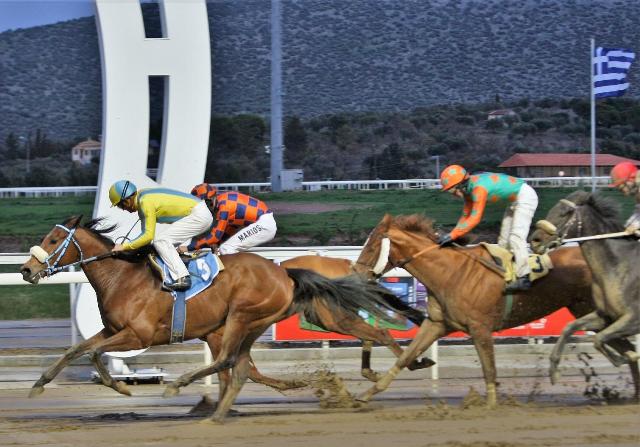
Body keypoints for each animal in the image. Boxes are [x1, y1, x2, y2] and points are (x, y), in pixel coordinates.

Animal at [20, 217, 410, 424]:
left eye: (54, 239)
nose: (25, 270)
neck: (124, 277)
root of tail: (284, 273)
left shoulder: (138, 335)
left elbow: (94, 354)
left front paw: (121, 387)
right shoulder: (113, 330)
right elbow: (75, 351)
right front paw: (39, 384)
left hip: (246, 316)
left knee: (232, 362)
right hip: (242, 324)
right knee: (241, 365)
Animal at [352, 215, 636, 408]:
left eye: (373, 245)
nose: (356, 272)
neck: (450, 272)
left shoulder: (480, 328)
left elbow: (489, 368)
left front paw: (490, 405)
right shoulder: (437, 323)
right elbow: (405, 357)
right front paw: (366, 394)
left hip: (596, 312)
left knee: (626, 346)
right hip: (587, 312)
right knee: (627, 348)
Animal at [528, 191, 640, 386]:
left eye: (565, 212)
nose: (535, 240)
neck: (618, 266)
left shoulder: (634, 319)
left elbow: (598, 338)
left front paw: (626, 357)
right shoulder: (606, 316)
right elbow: (570, 327)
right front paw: (554, 370)